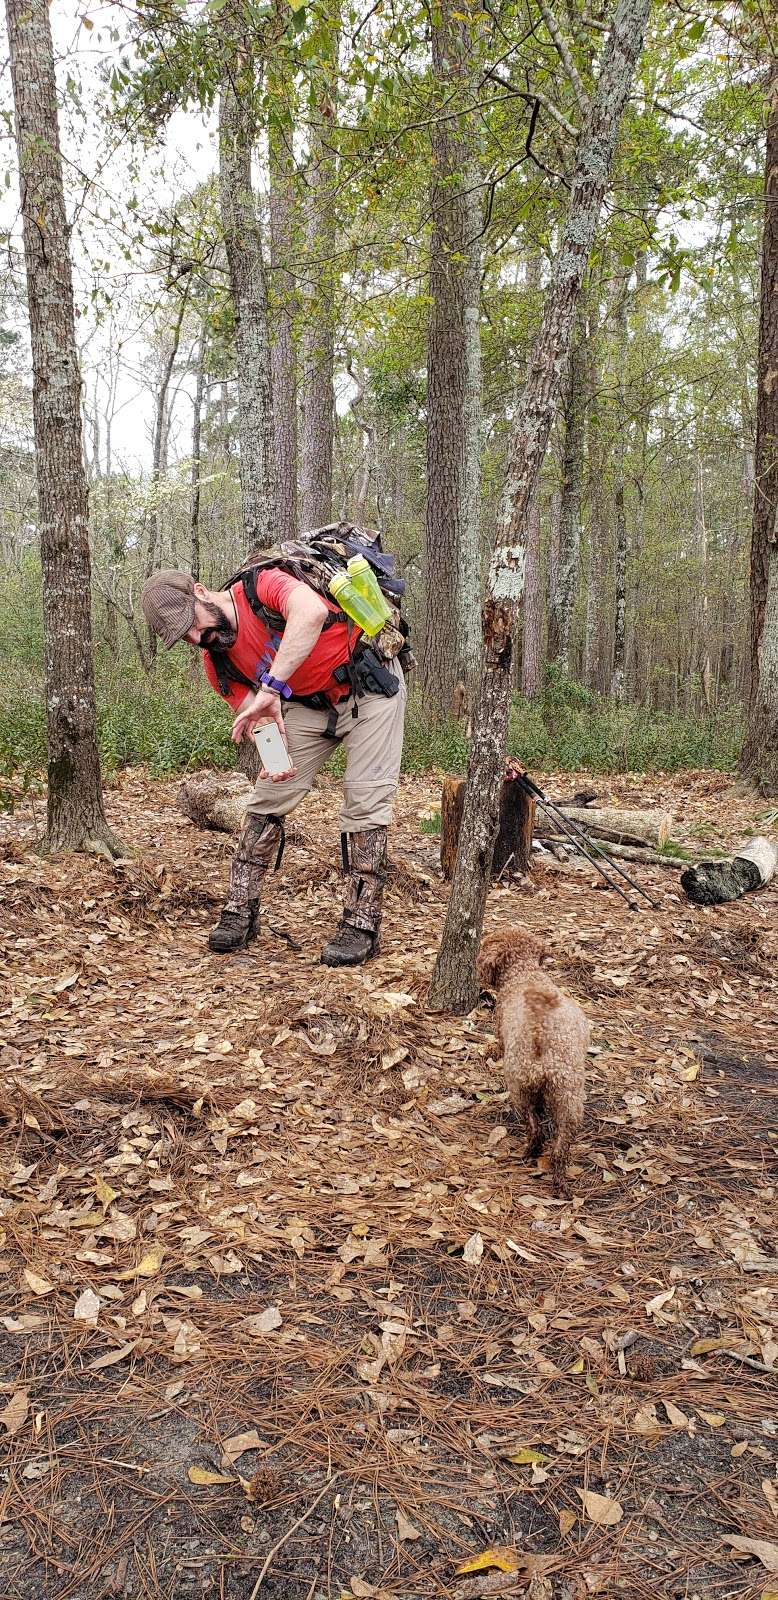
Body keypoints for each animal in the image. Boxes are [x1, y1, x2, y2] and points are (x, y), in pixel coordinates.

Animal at [477, 921, 585, 1196]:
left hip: (519, 1088)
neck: (524, 973)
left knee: (535, 1129)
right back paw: (558, 1180)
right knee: (559, 1147)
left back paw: (528, 1153)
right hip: (569, 1099)